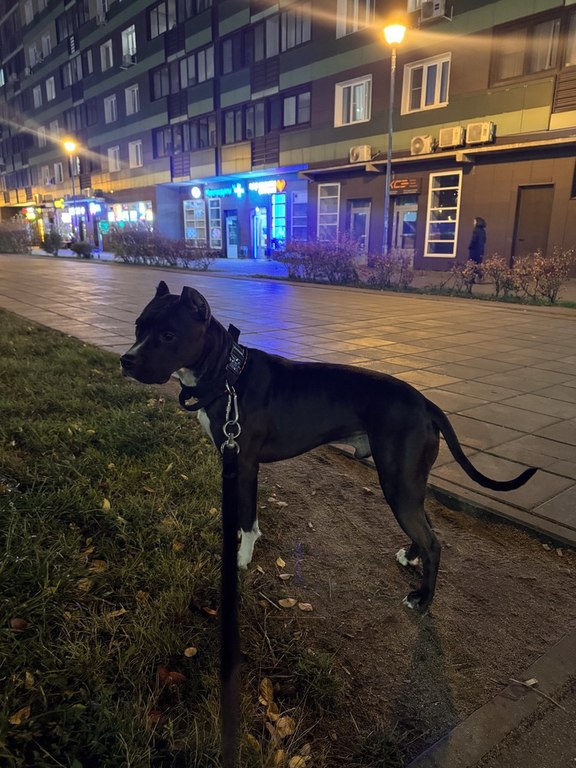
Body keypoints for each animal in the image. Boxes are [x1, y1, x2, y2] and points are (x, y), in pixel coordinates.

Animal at [121, 281, 537, 611]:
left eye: (168, 335)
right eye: (139, 326)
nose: (126, 360)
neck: (228, 374)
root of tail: (425, 403)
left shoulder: (246, 464)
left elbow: (248, 518)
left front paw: (242, 557)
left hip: (398, 484)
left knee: (434, 542)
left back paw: (422, 600)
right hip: (409, 485)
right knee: (427, 528)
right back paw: (410, 557)